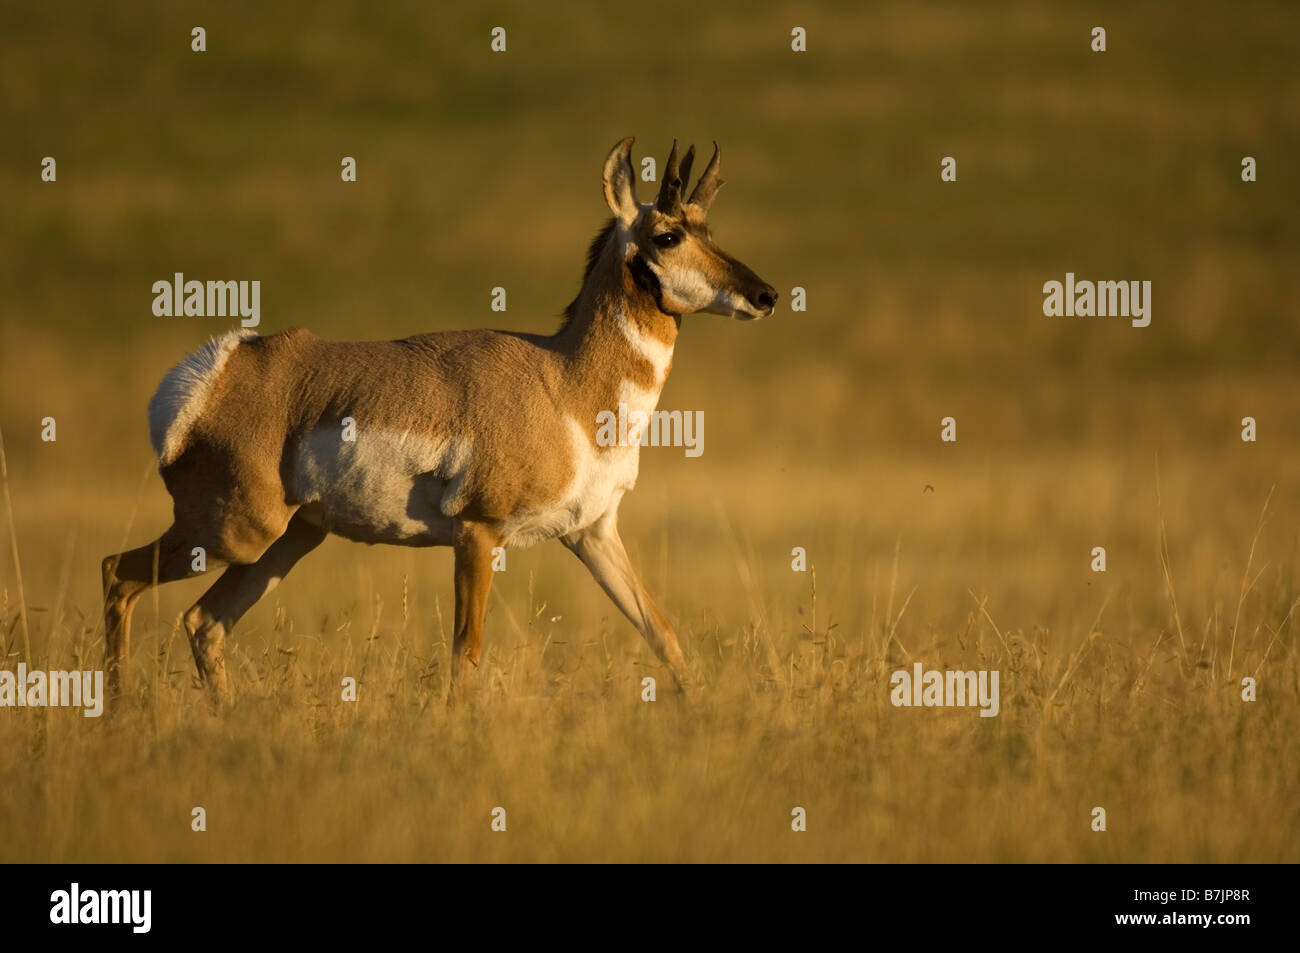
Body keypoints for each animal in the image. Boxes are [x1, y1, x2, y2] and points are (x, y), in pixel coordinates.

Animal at [101, 137, 777, 703]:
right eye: (667, 235)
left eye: (707, 227)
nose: (767, 295)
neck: (565, 384)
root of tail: (220, 368)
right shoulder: (478, 535)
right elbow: (465, 657)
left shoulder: (593, 533)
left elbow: (663, 633)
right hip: (234, 533)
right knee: (118, 573)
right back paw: (120, 717)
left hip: (288, 539)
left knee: (203, 622)